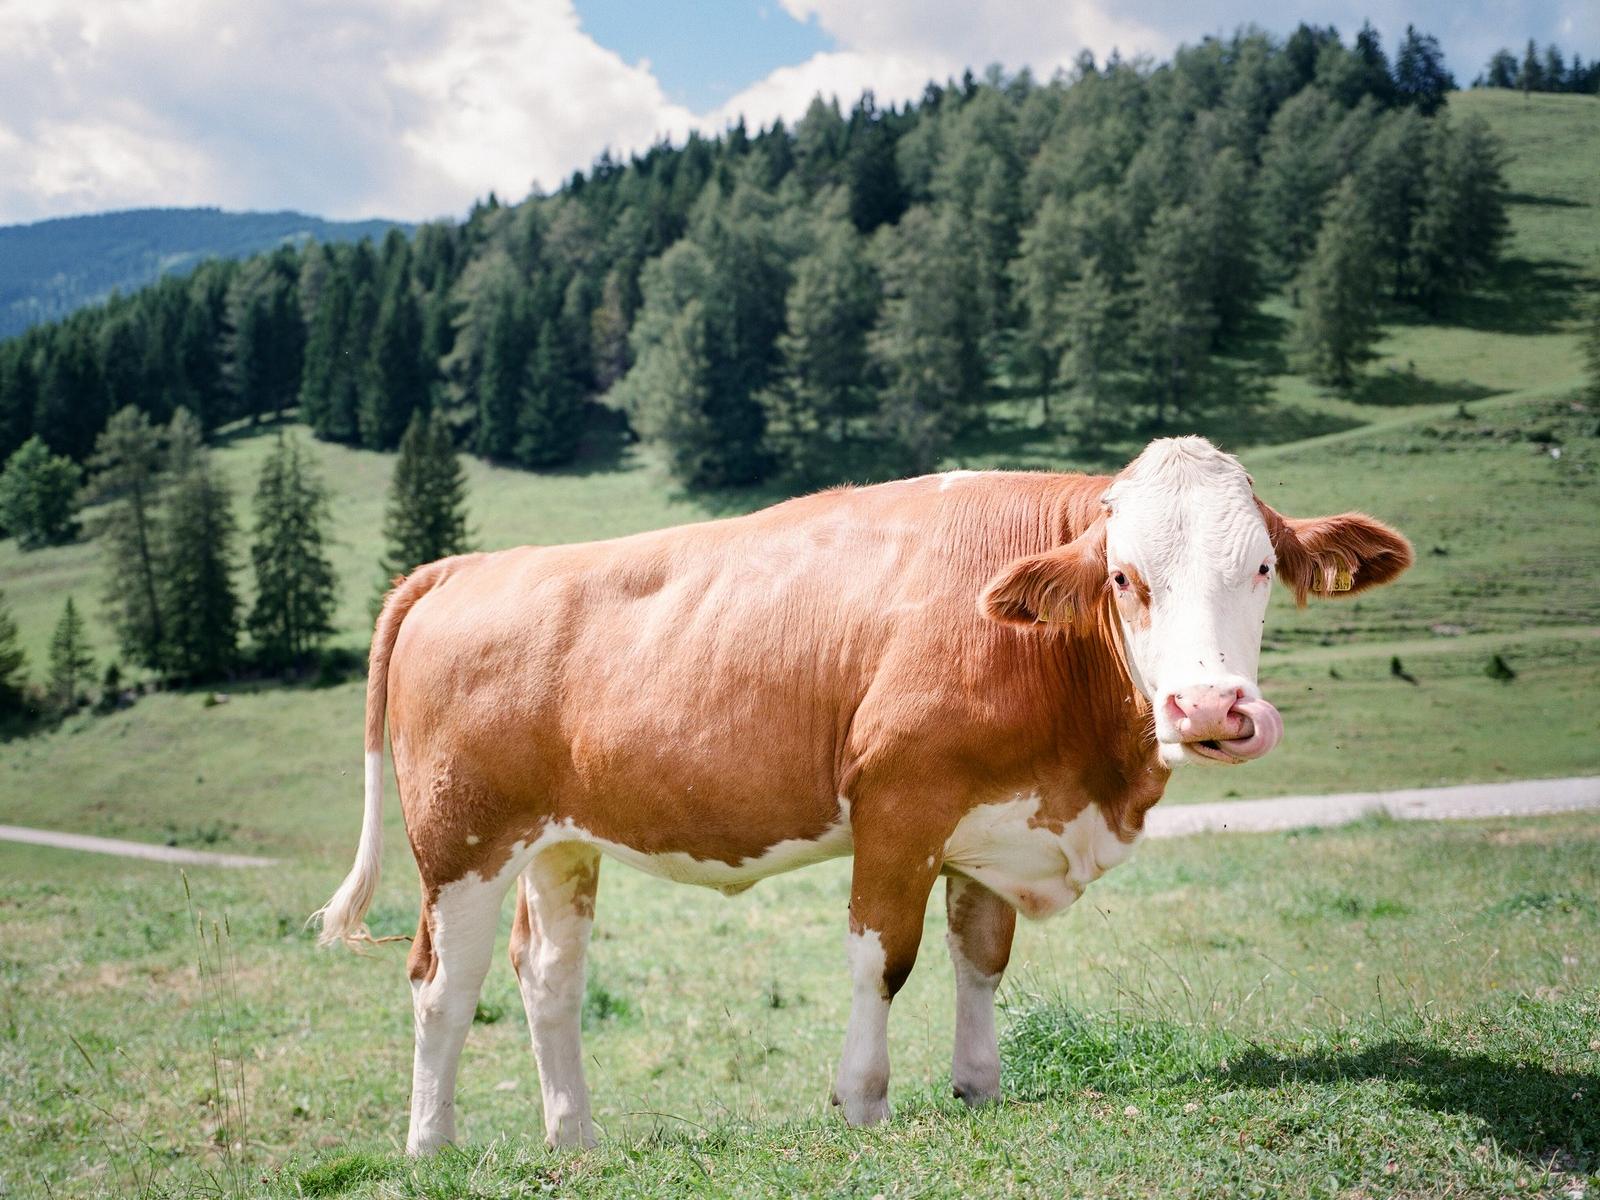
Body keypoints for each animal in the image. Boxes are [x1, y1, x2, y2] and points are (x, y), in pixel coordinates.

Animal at [314, 435, 1412, 1154]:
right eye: (1125, 578)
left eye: (1261, 567)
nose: (1212, 706)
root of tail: (472, 566)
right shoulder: (898, 805)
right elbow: (882, 960)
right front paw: (864, 1101)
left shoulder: (994, 824)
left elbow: (980, 959)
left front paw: (978, 1087)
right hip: (462, 842)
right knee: (443, 986)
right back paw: (431, 1147)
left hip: (558, 843)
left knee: (549, 978)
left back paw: (575, 1137)